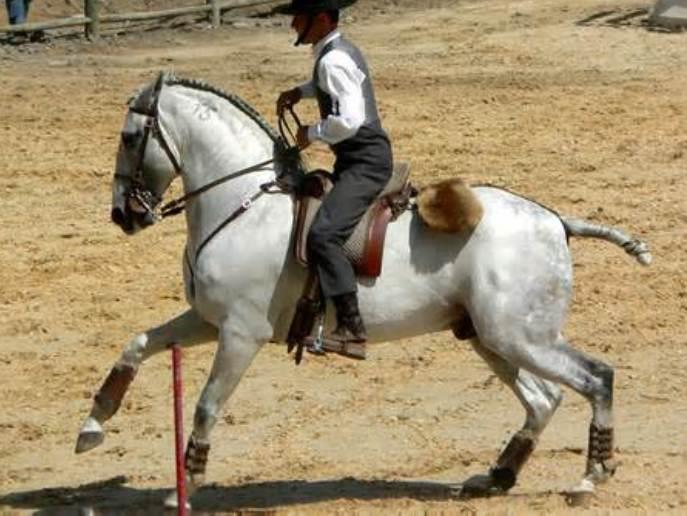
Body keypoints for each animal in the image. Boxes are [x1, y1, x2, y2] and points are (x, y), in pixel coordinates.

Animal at [75, 72, 651, 506]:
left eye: (130, 137)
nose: (122, 215)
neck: (243, 205)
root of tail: (556, 222)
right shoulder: (207, 320)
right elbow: (138, 343)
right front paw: (93, 424)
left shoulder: (240, 333)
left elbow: (206, 404)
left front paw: (187, 484)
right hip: (492, 337)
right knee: (543, 398)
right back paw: (496, 476)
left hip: (521, 337)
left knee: (596, 377)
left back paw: (590, 476)